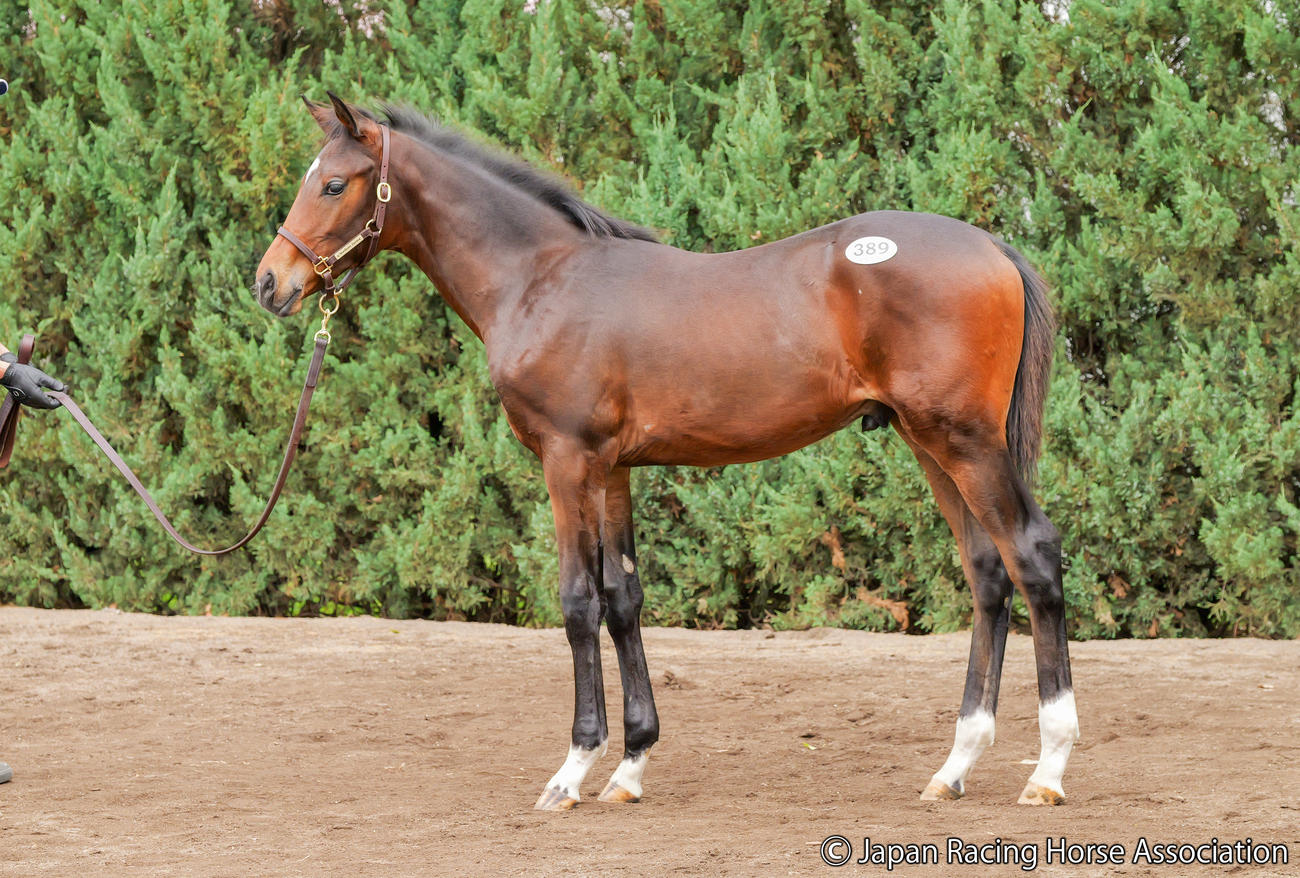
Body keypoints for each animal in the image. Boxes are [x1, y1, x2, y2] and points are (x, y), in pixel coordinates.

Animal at [254, 94, 1079, 810]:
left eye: (333, 183)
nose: (270, 284)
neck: (540, 279)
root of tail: (993, 245)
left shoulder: (567, 461)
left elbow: (578, 601)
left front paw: (572, 771)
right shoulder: (614, 470)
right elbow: (624, 599)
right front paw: (629, 767)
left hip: (964, 441)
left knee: (1033, 554)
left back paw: (1048, 770)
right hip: (927, 442)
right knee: (987, 572)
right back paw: (955, 766)